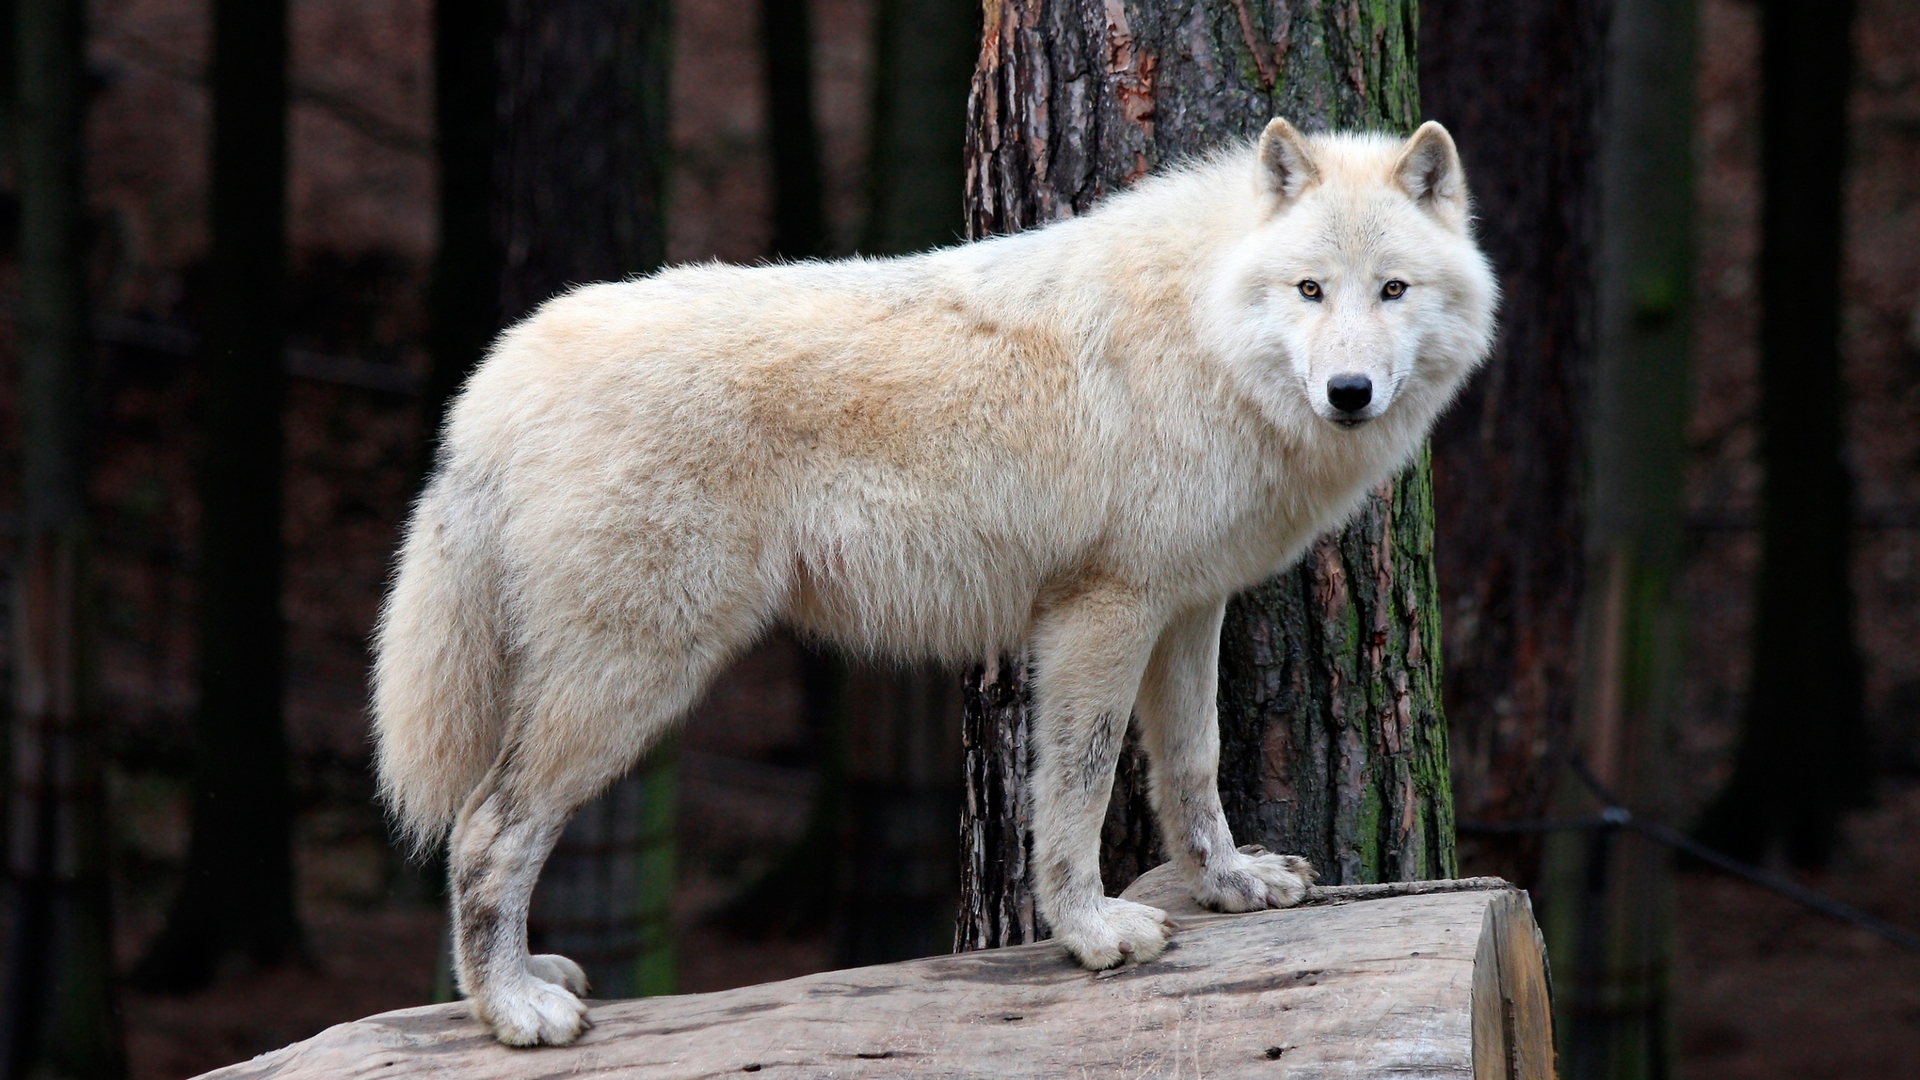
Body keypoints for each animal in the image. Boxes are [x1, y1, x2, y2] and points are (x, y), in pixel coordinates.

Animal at [371, 118, 1496, 1046]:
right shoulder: (1102, 613)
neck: (1203, 328)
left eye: (1392, 290)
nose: (1348, 391)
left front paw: (1228, 883)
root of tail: (496, 379)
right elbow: (1080, 788)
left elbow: (1192, 766)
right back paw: (514, 1010)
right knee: (485, 831)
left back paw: (521, 983)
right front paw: (1091, 932)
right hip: (633, 679)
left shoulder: (1186, 607)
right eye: (1310, 291)